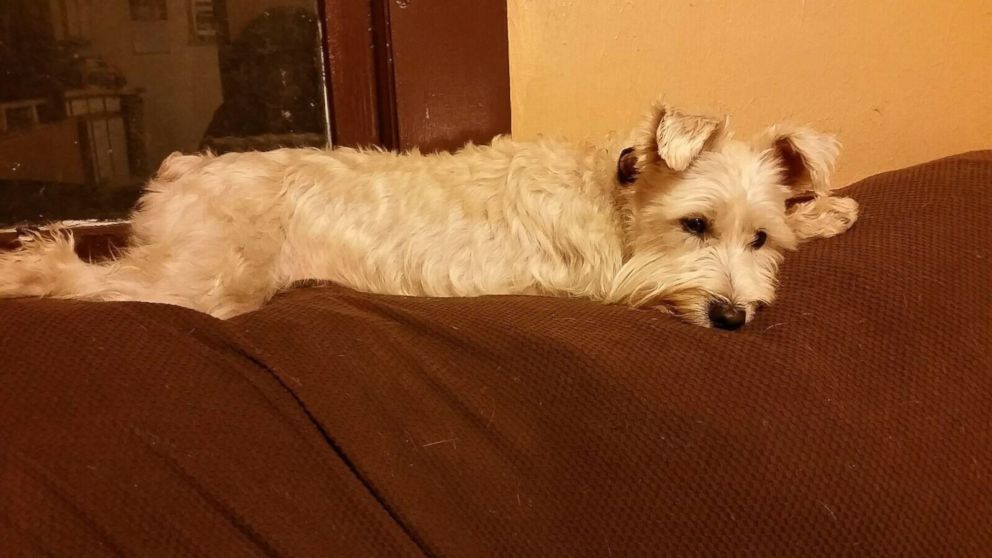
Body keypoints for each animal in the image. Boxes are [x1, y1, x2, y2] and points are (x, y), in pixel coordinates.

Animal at [0, 101, 856, 328]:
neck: (616, 194)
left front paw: (830, 208)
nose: (733, 318)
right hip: (204, 281)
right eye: (694, 225)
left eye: (760, 238)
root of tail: (184, 170)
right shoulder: (609, 278)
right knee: (75, 271)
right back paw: (23, 267)